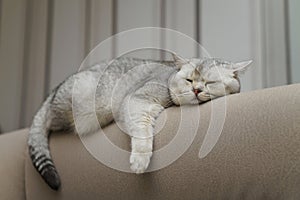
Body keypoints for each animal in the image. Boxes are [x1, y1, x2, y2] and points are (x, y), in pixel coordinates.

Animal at [27, 54, 251, 190]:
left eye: (210, 82)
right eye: (189, 80)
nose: (196, 90)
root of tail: (55, 89)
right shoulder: (138, 100)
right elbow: (141, 132)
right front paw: (140, 160)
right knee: (47, 121)